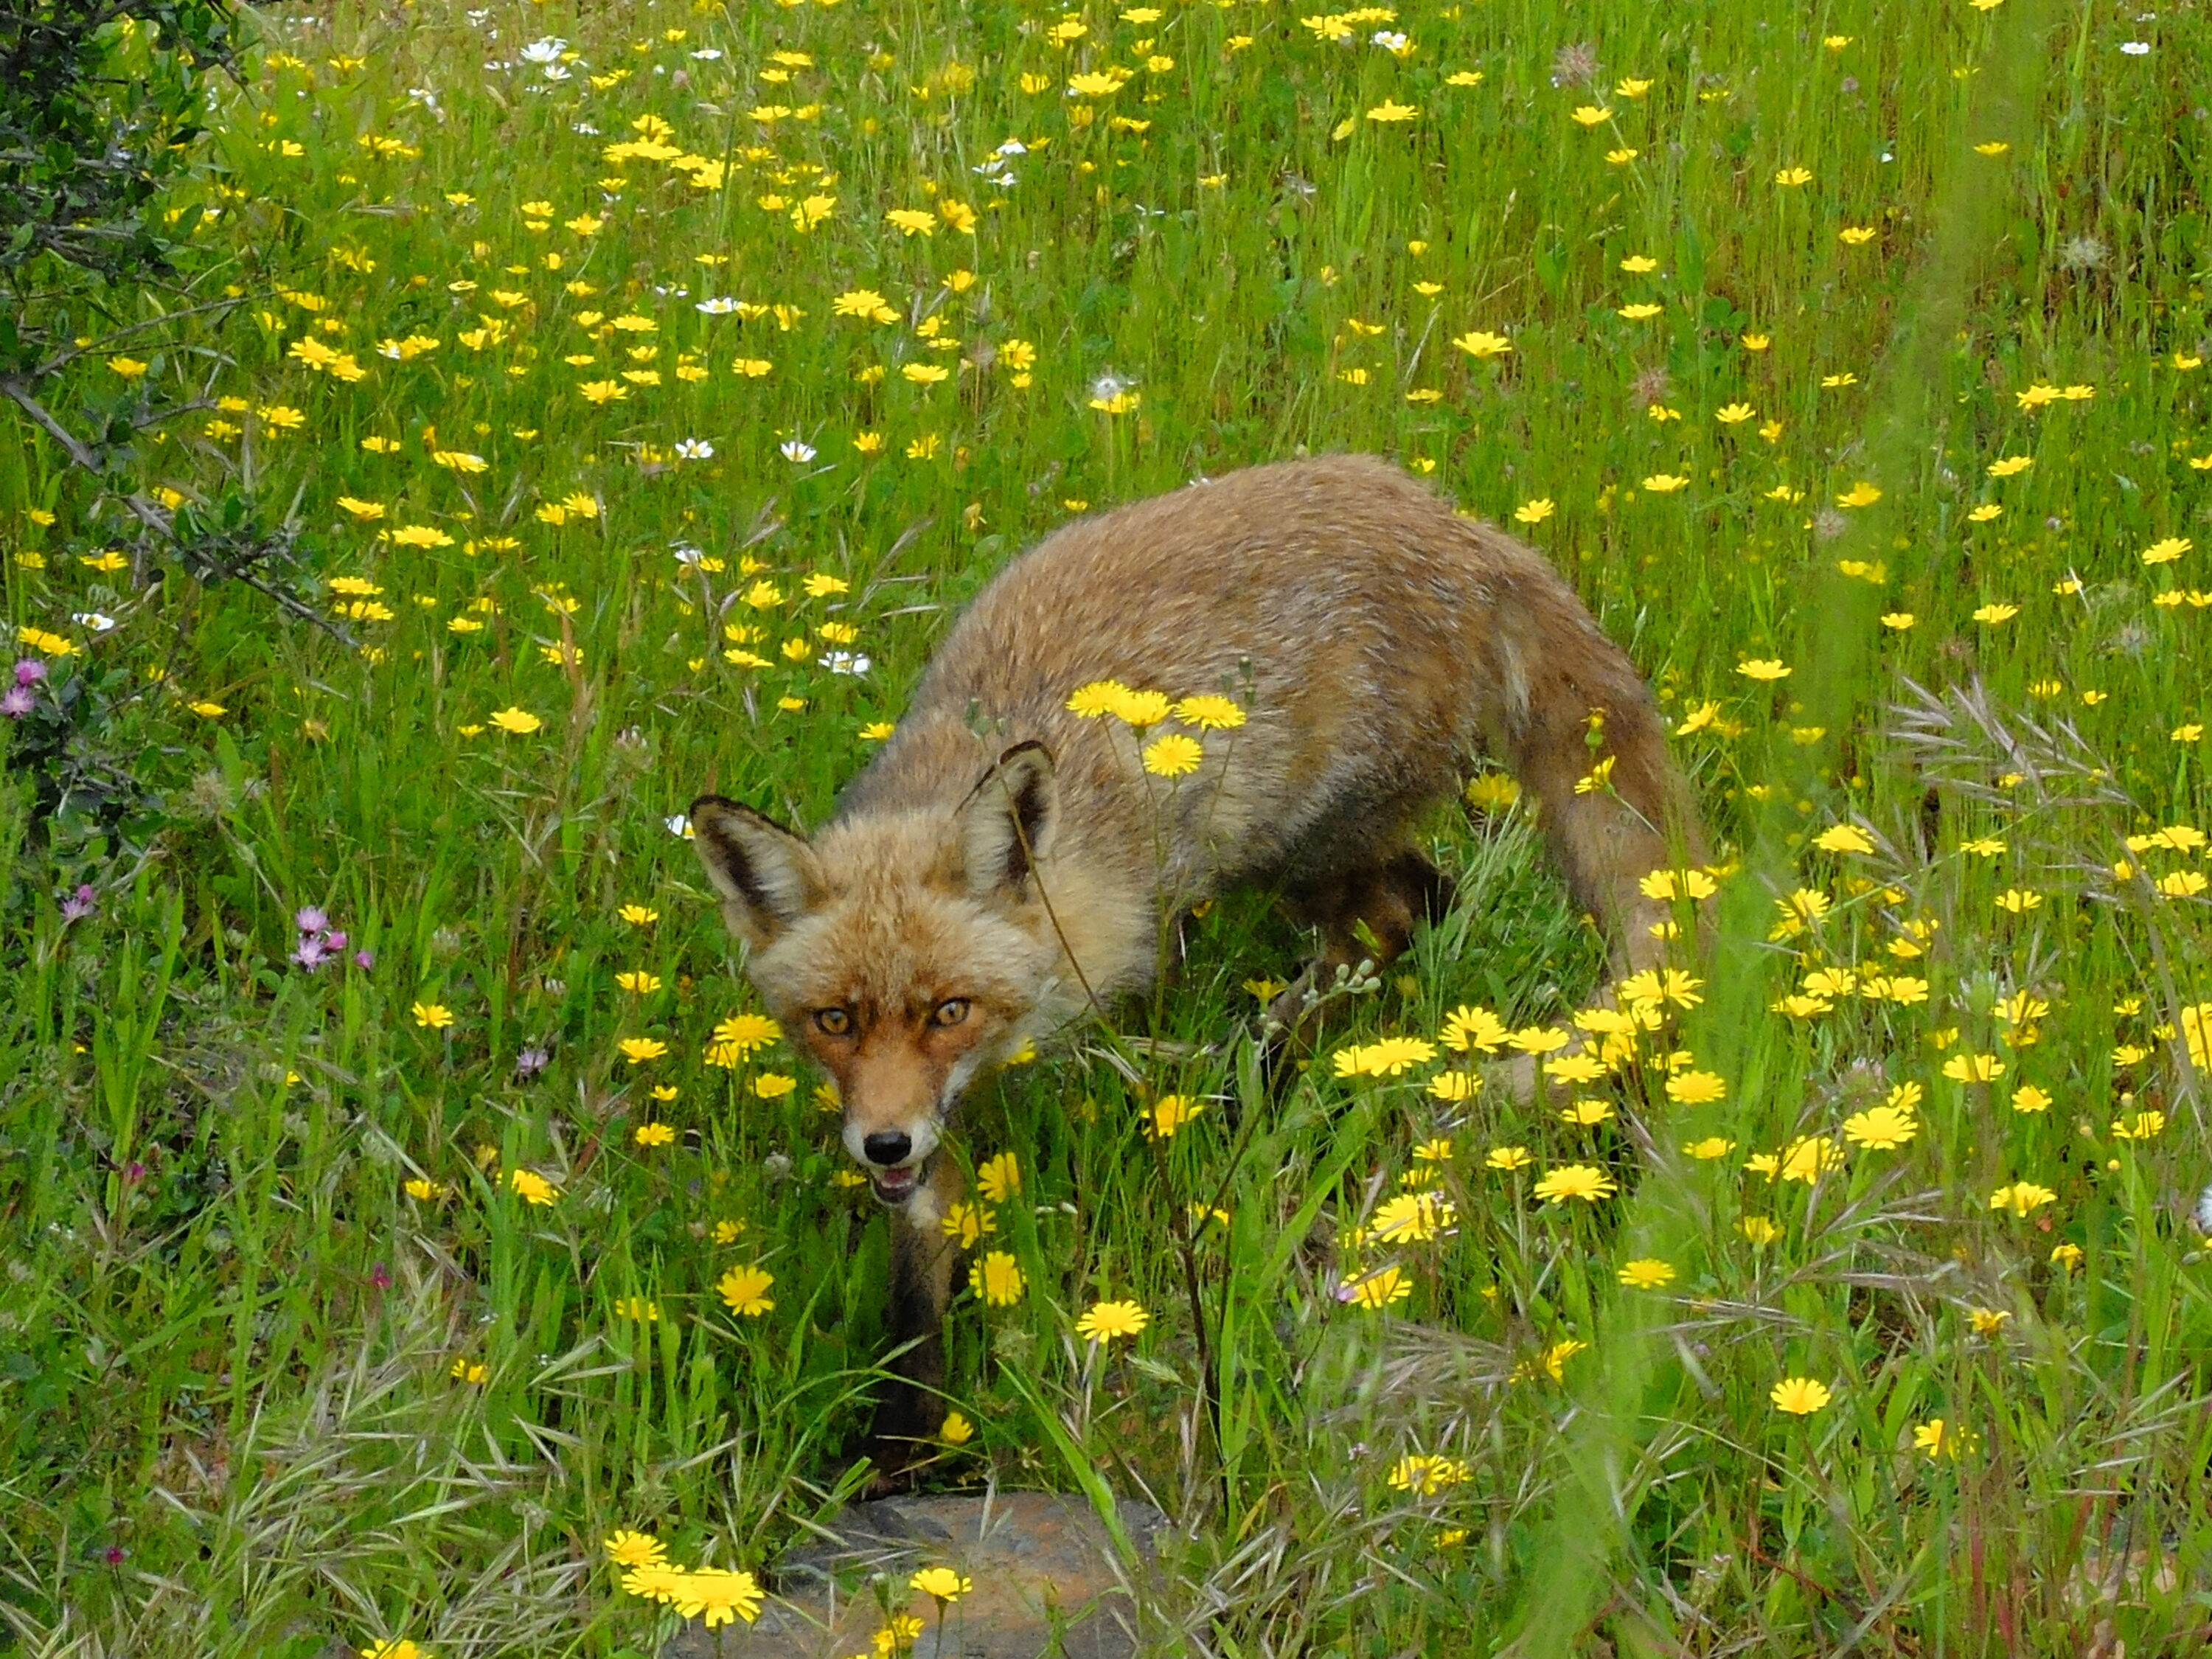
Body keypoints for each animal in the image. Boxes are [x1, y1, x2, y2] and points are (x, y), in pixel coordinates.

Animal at [689, 454, 1703, 1475]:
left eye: (949, 1011)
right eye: (835, 1021)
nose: (883, 1146)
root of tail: (1455, 523)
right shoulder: (924, 1110)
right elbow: (917, 1271)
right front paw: (906, 1437)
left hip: (1297, 846)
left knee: (1397, 918)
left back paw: (1253, 1081)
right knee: (1427, 902)